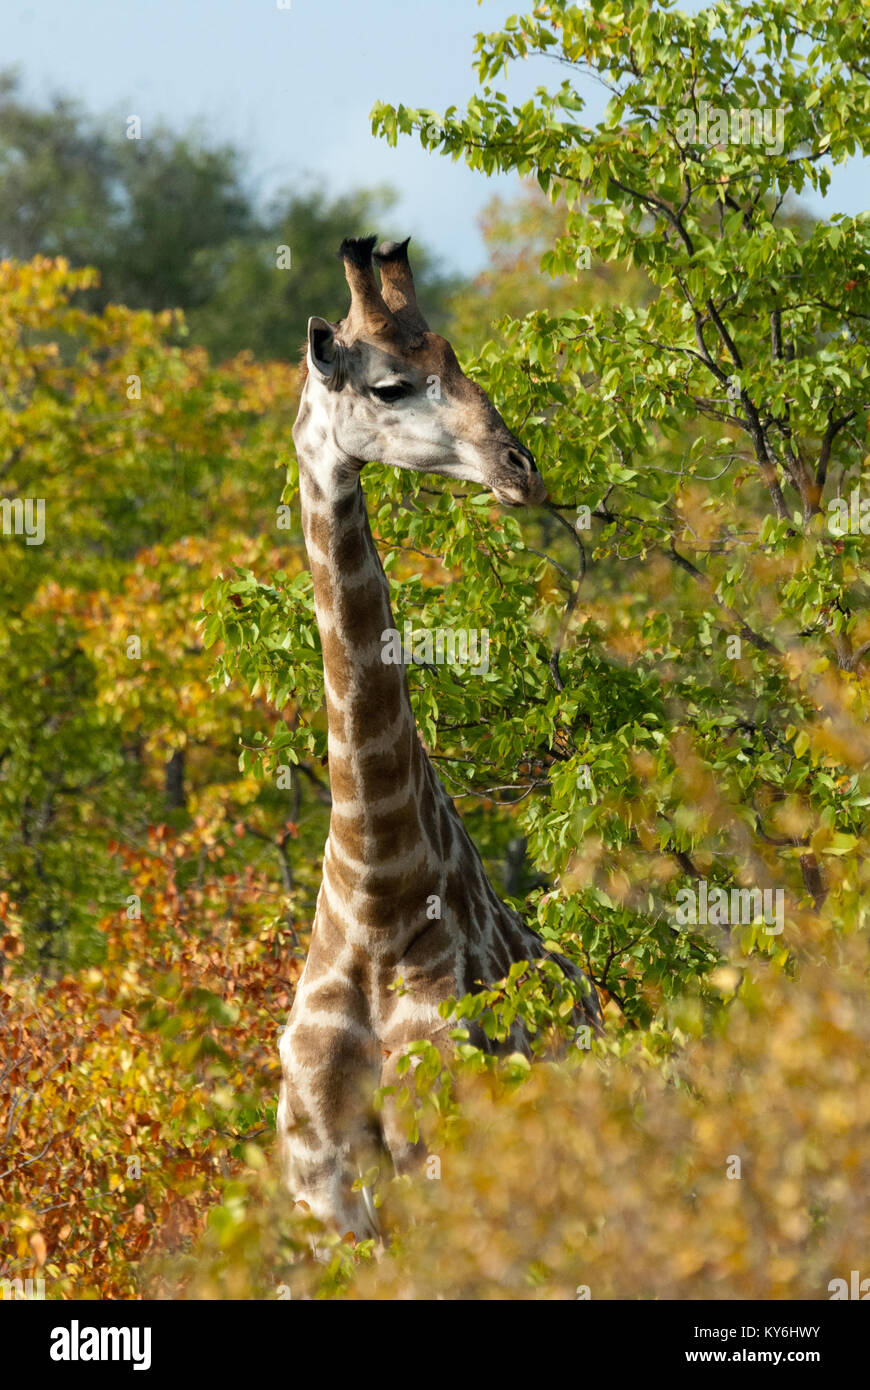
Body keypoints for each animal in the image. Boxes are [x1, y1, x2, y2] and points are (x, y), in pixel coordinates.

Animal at [273, 239, 600, 1239]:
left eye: (458, 360)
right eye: (390, 385)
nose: (519, 466)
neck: (375, 898)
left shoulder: (444, 1163)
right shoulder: (327, 1198)